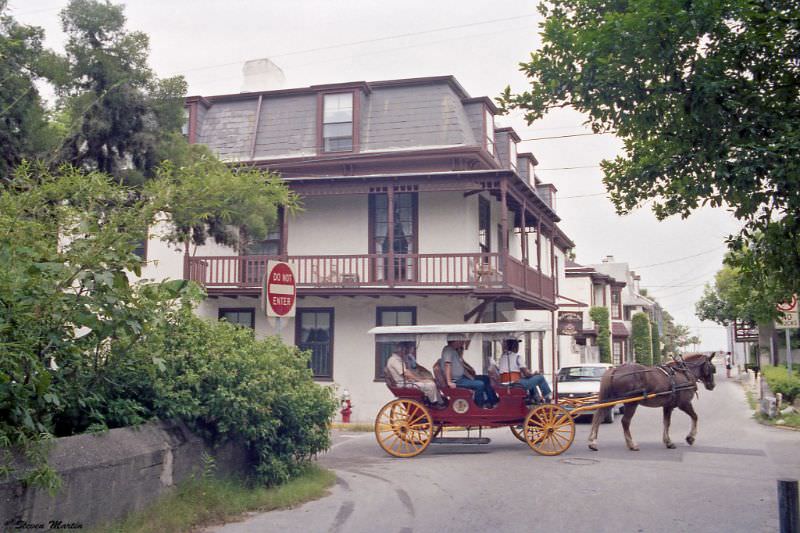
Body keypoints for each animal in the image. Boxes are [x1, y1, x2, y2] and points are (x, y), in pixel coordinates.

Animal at [588, 352, 720, 450]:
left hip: (611, 400)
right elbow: (695, 417)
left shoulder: (668, 406)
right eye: (712, 368)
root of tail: (615, 370)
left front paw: (668, 442)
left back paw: (593, 442)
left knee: (598, 417)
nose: (712, 385)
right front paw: (690, 438)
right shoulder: (684, 404)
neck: (684, 373)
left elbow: (666, 423)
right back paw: (631, 444)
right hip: (631, 403)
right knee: (625, 421)